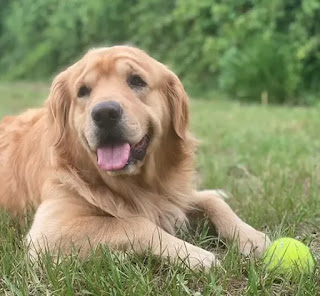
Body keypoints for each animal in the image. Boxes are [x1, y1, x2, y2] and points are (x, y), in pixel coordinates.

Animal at [0, 45, 270, 268]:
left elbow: (213, 203)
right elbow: (135, 223)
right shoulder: (48, 230)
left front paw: (252, 237)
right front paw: (195, 254)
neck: (137, 185)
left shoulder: (173, 194)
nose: (105, 113)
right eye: (83, 91)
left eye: (136, 81)